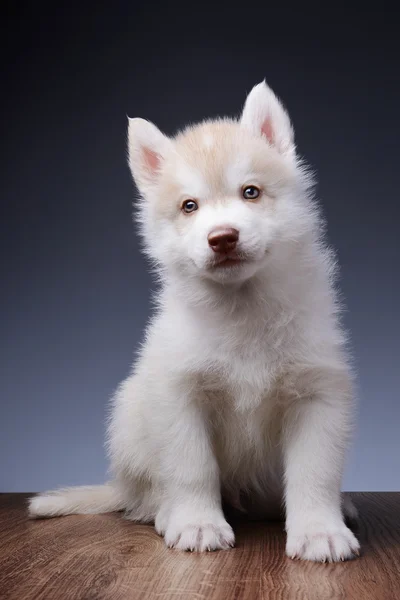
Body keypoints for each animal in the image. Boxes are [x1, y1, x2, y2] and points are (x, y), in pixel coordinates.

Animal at [28, 81, 360, 564]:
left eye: (251, 192)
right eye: (189, 206)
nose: (222, 238)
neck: (242, 307)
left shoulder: (317, 393)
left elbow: (314, 471)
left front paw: (320, 531)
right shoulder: (179, 393)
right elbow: (192, 467)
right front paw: (197, 524)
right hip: (130, 414)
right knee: (147, 495)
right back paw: (165, 511)